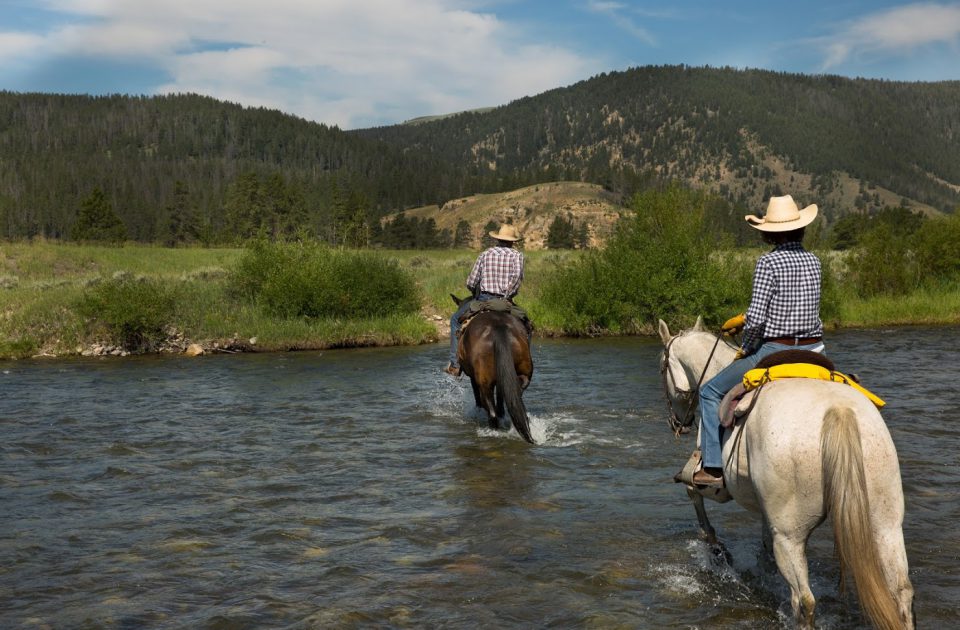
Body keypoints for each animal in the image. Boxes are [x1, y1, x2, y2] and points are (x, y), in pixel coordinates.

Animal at [450, 296, 532, 444]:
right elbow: (500, 400)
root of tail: (499, 328)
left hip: (484, 383)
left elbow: (478, 398)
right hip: (522, 376)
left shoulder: (473, 378)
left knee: (491, 412)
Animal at [660, 318, 916, 630]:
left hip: (790, 535)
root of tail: (838, 411)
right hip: (885, 526)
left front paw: (717, 548)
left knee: (804, 601)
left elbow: (692, 491)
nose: (678, 423)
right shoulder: (765, 509)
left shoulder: (713, 482)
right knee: (901, 592)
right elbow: (764, 546)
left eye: (662, 367)